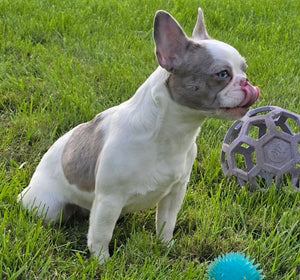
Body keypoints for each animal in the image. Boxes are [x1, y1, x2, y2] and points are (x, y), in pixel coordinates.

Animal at [17, 8, 258, 262]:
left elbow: (166, 223)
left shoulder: (175, 193)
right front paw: (102, 262)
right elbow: (102, 234)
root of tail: (28, 188)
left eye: (244, 68)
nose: (246, 81)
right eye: (222, 74)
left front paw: (166, 246)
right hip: (48, 208)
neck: (170, 133)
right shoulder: (109, 200)